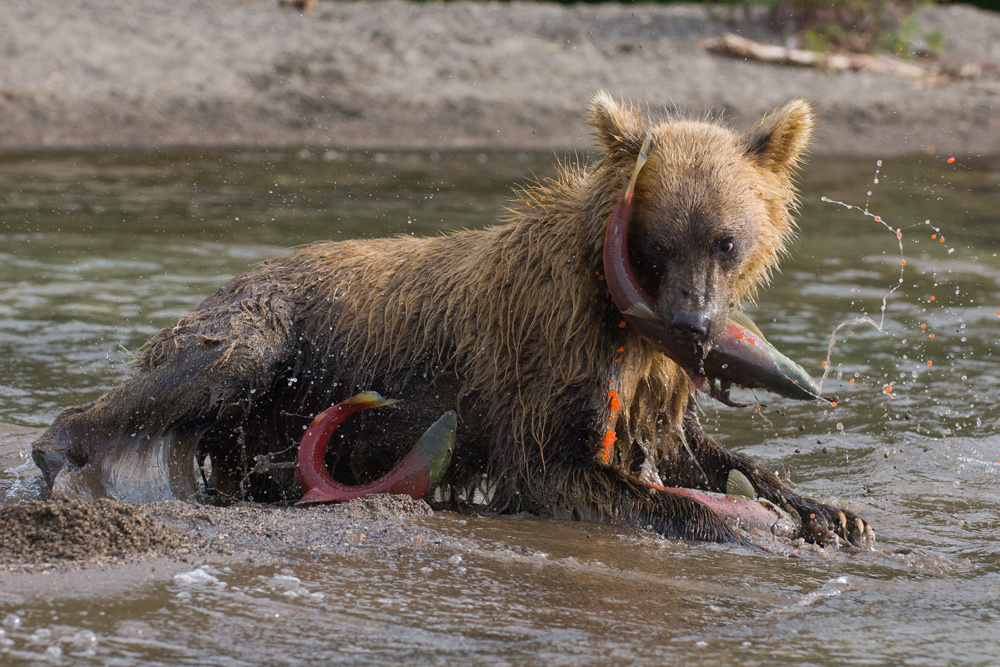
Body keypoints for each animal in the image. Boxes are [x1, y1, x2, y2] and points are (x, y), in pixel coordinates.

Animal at [33, 92, 876, 548]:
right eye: (659, 241)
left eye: (725, 240)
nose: (696, 323)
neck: (616, 308)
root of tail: (233, 275)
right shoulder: (548, 354)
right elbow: (567, 470)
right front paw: (746, 524)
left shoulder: (648, 377)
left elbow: (687, 447)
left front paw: (830, 512)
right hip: (265, 327)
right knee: (195, 372)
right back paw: (60, 456)